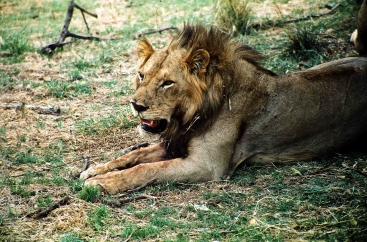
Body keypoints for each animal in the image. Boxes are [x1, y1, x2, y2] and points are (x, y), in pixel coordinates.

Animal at [81, 24, 367, 195]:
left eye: (167, 83)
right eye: (141, 75)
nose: (136, 105)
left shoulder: (207, 166)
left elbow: (148, 169)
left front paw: (100, 184)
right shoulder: (175, 142)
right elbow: (135, 156)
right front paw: (95, 170)